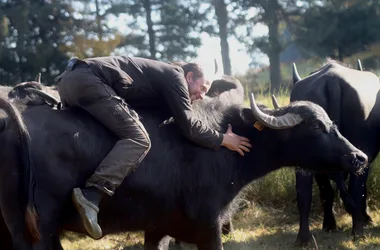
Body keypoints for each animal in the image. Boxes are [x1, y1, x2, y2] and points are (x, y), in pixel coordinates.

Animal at [290, 58, 380, 244]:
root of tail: (332, 82)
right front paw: (366, 217)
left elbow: (326, 191)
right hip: (361, 155)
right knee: (356, 189)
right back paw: (357, 231)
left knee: (305, 191)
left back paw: (305, 238)